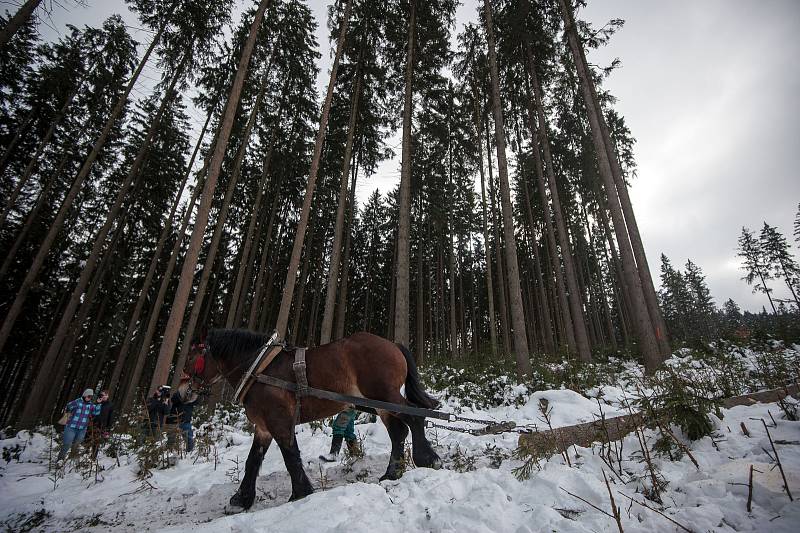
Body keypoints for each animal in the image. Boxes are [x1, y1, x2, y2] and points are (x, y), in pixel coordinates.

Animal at [187, 328, 444, 512]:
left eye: (192, 357)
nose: (183, 392)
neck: (259, 370)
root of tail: (393, 344)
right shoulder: (263, 427)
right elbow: (252, 460)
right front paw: (240, 500)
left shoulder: (279, 421)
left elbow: (290, 457)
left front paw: (300, 493)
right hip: (379, 403)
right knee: (399, 432)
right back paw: (392, 473)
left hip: (384, 395)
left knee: (415, 418)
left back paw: (428, 459)